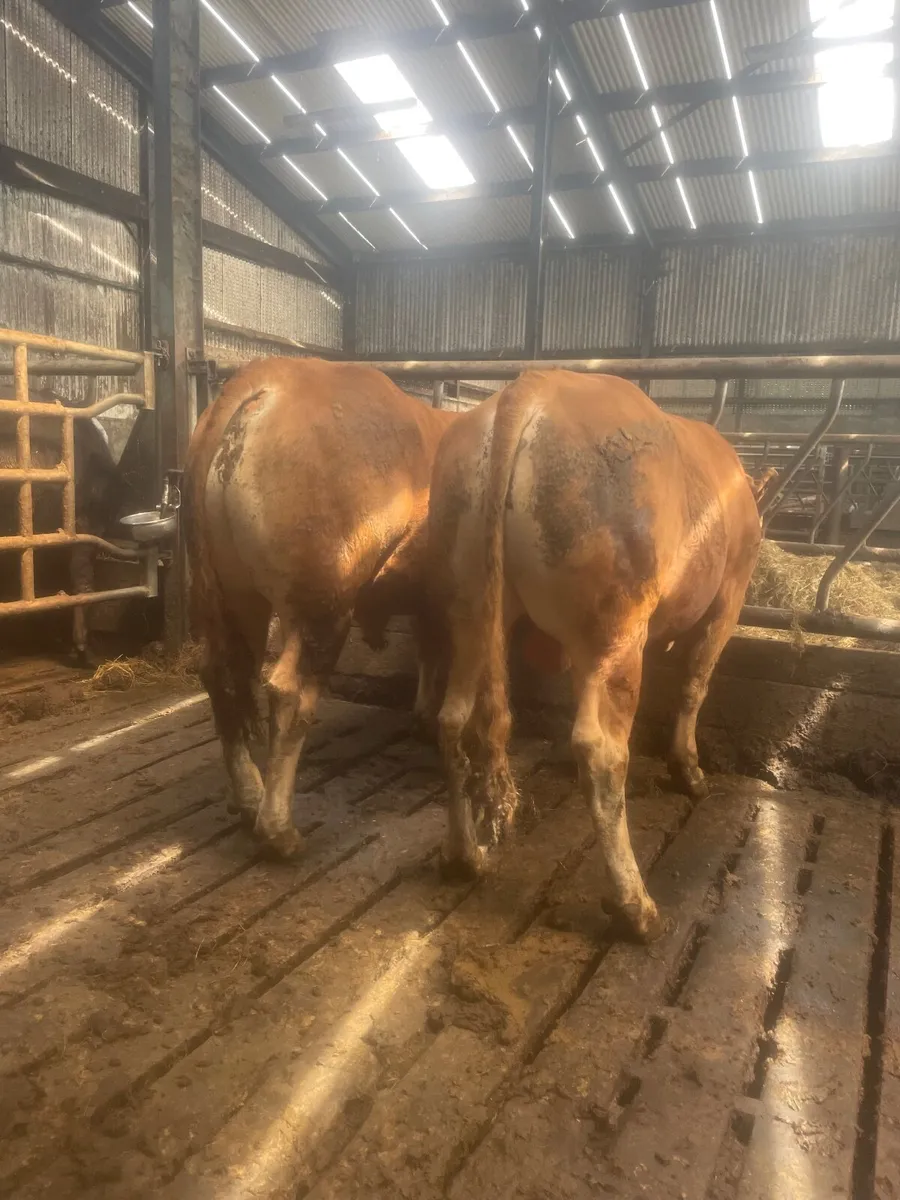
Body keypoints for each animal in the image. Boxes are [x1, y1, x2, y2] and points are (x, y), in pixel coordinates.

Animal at [183, 357, 456, 859]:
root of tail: (269, 379)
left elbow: (430, 648)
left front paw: (425, 718)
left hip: (234, 597)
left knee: (223, 676)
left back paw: (249, 796)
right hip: (322, 605)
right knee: (289, 691)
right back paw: (279, 831)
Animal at [429, 370, 762, 941]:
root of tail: (534, 384)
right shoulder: (729, 597)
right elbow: (695, 682)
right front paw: (689, 771)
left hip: (469, 606)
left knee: (454, 718)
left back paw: (467, 855)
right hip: (616, 629)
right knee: (602, 749)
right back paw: (636, 906)